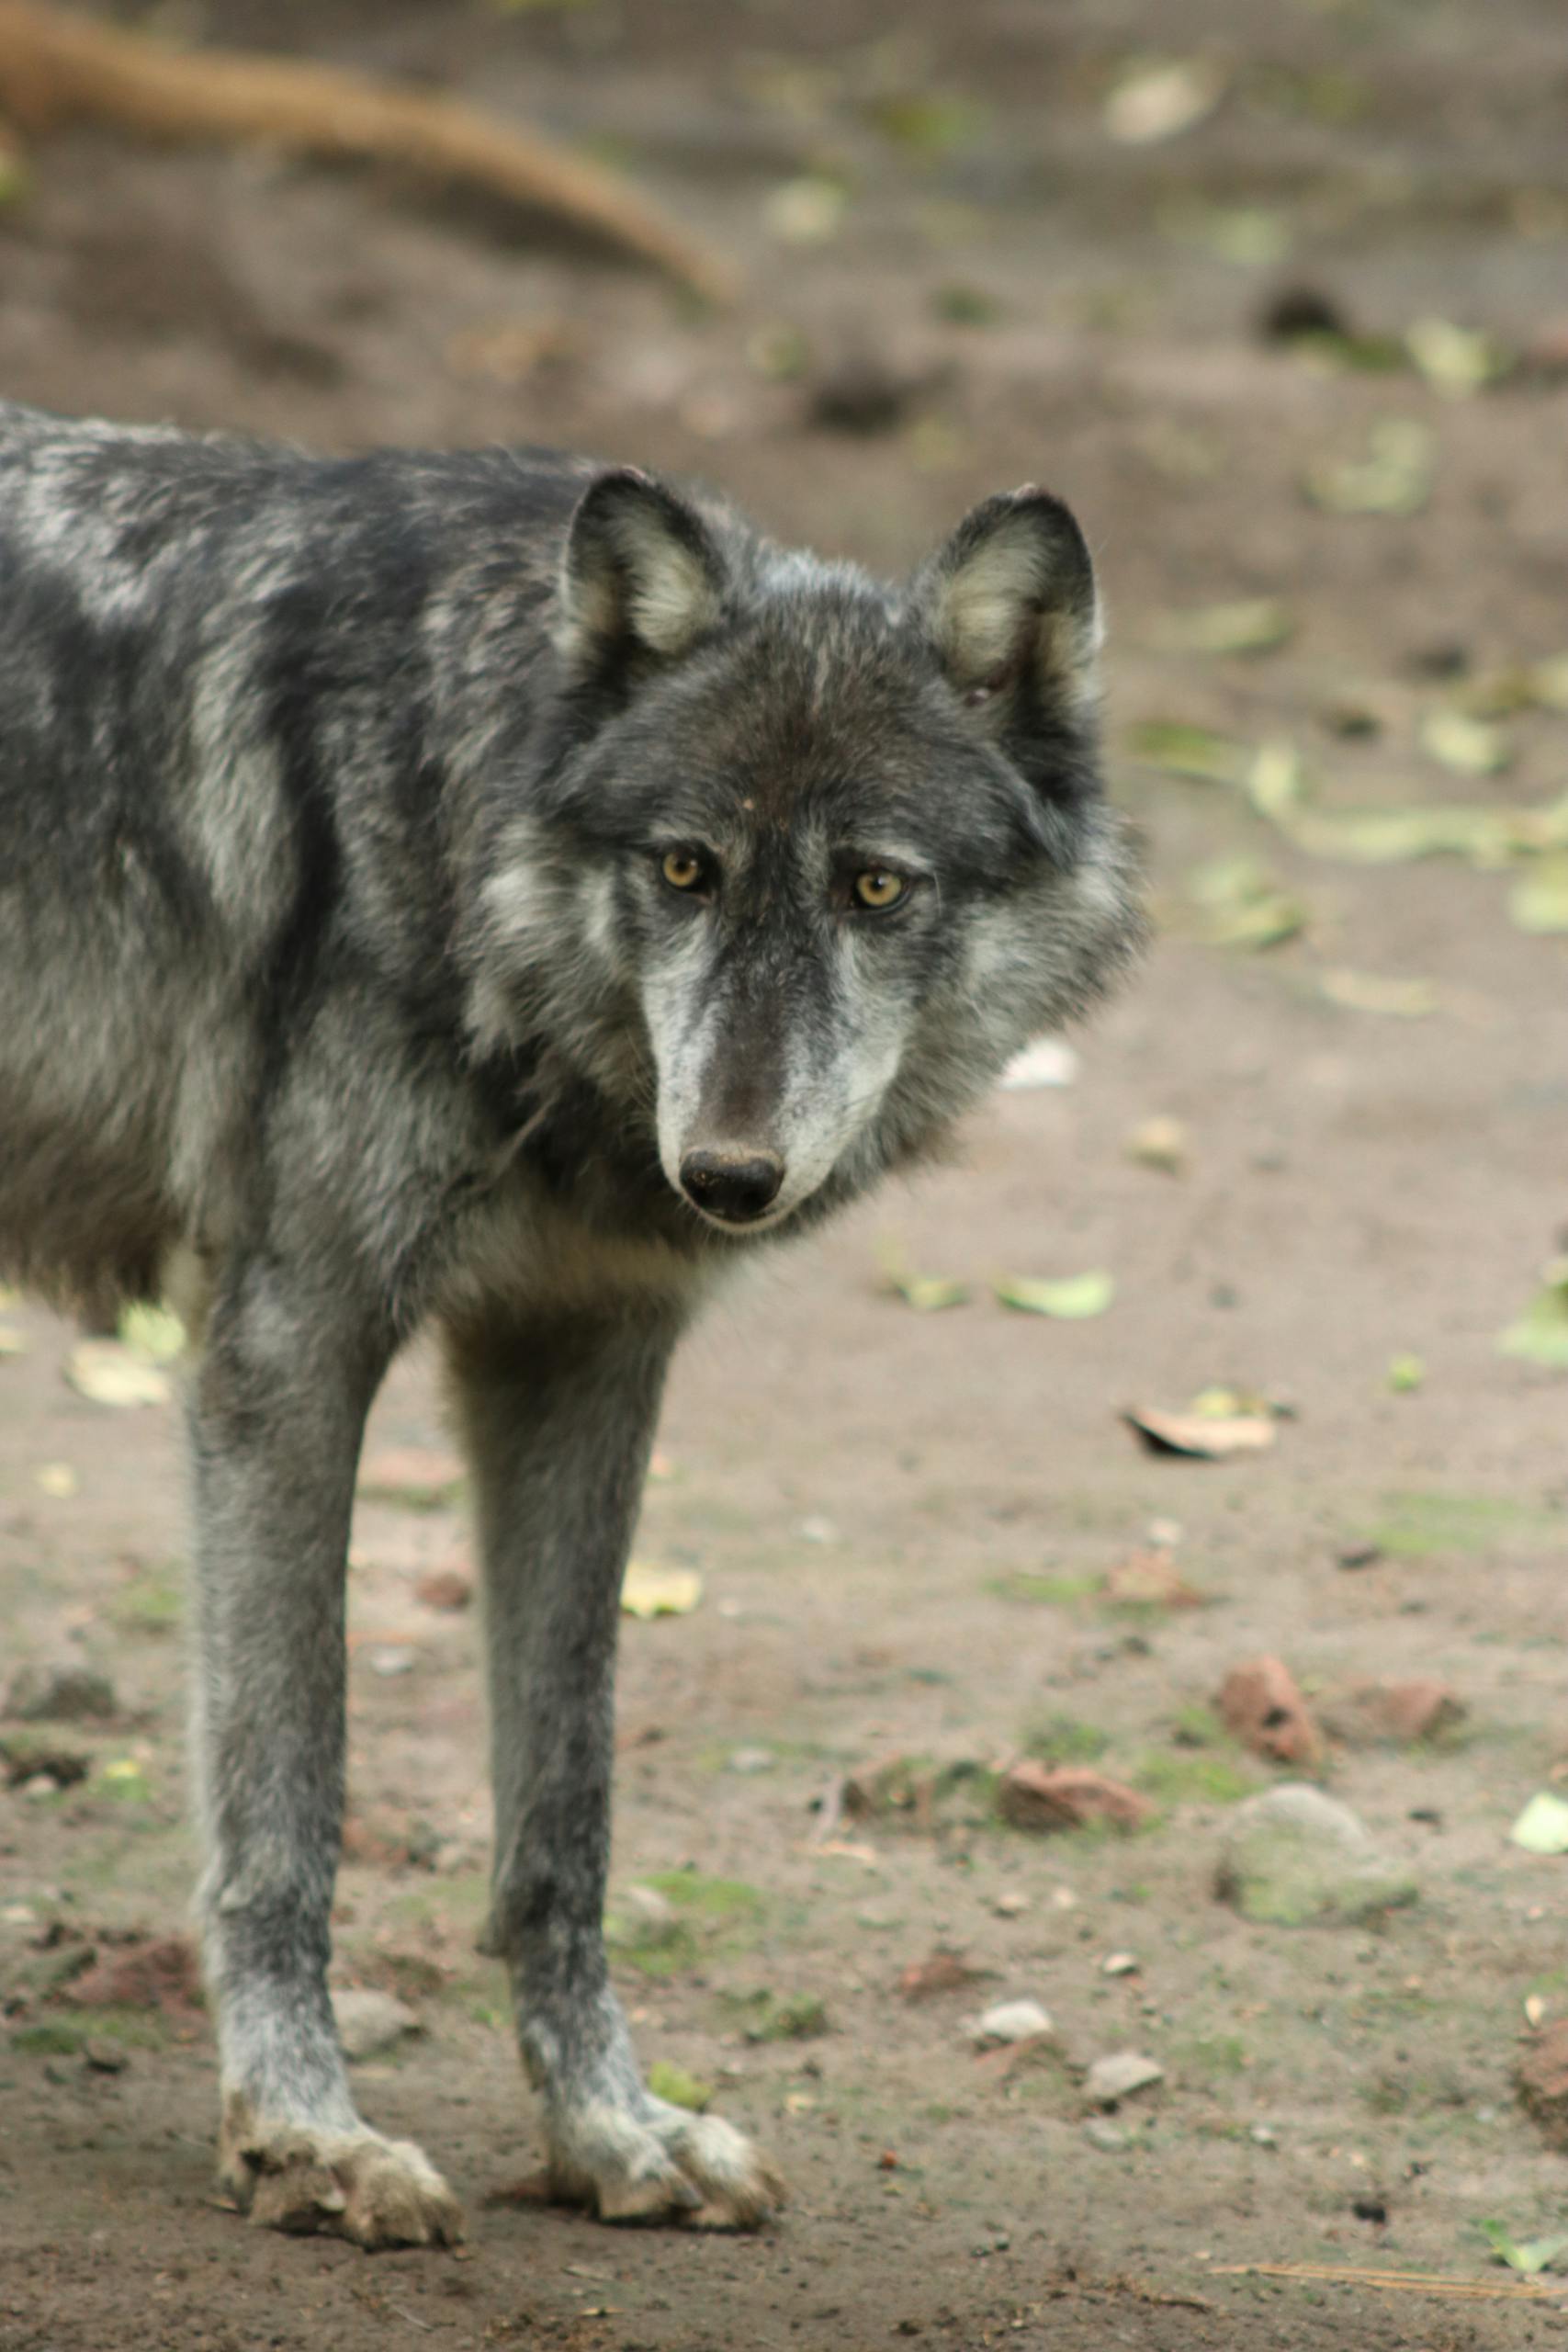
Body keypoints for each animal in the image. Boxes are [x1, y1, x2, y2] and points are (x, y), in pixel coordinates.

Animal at [0, 398, 1141, 2246]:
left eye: (874, 890)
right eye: (684, 869)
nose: (728, 1174)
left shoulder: (583, 1361)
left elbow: (565, 1812)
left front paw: (607, 2130)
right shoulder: (287, 1350)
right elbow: (285, 1800)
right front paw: (301, 2135)